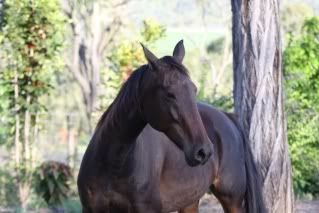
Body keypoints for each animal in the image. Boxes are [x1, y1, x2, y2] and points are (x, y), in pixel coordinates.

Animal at [77, 40, 264, 212]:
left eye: (194, 90)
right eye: (169, 94)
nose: (203, 151)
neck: (113, 164)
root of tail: (228, 117)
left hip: (232, 201)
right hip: (190, 202)